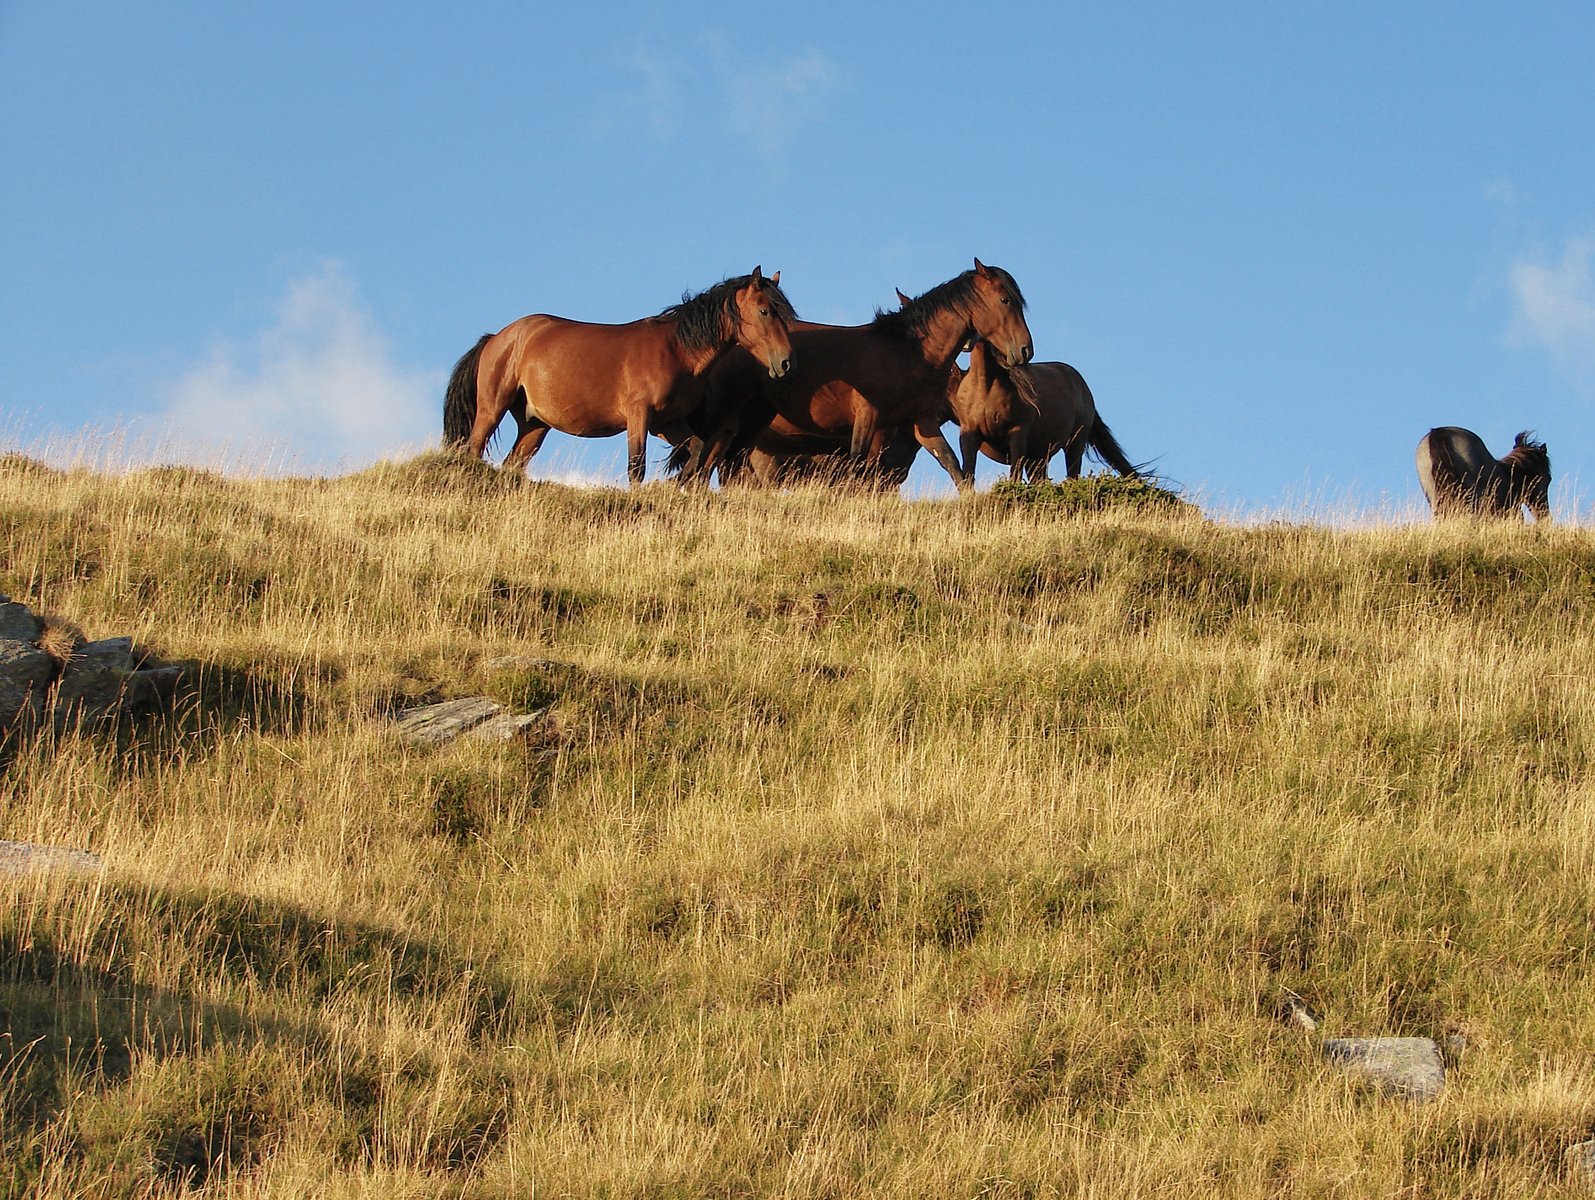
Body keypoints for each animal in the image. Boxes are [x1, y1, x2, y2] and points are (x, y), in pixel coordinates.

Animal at [443, 266, 797, 481]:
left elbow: (696, 449)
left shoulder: (666, 423)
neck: (675, 350)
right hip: (492, 409)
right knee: (474, 448)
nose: (785, 362)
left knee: (512, 464)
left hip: (534, 425)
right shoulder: (639, 416)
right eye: (765, 311)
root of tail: (498, 337)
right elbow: (636, 468)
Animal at [676, 260, 1033, 488]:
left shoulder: (922, 424)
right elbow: (856, 470)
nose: (1025, 350)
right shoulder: (867, 419)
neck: (906, 352)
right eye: (1005, 300)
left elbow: (953, 466)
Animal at [950, 338, 1142, 481]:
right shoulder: (969, 437)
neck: (985, 389)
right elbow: (968, 474)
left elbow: (1014, 475)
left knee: (1072, 474)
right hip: (1039, 456)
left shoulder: (1017, 435)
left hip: (1074, 443)